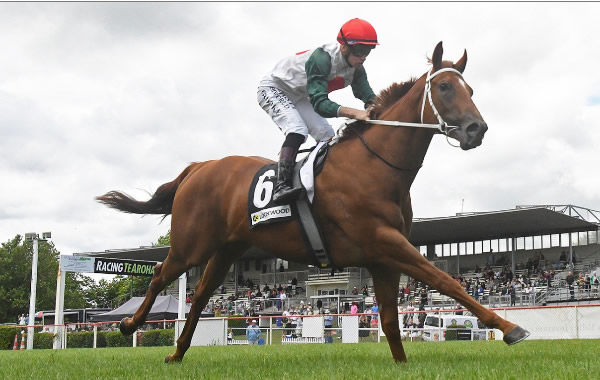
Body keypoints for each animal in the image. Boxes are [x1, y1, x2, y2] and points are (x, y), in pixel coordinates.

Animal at [96, 40, 528, 362]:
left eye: (470, 90)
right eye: (444, 88)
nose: (476, 129)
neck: (375, 164)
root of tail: (199, 168)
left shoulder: (382, 256)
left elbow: (390, 319)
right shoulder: (385, 242)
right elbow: (445, 281)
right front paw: (510, 328)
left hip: (225, 249)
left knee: (200, 296)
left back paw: (177, 353)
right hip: (191, 244)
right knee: (159, 275)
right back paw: (129, 325)